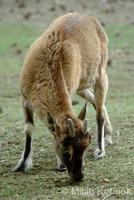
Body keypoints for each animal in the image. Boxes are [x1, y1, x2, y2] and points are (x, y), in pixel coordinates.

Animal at [13, 12, 112, 181]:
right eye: (65, 145)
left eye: (85, 146)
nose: (79, 175)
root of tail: (92, 19)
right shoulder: (24, 99)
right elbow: (29, 128)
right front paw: (22, 164)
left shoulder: (68, 90)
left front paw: (59, 165)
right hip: (82, 86)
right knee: (93, 100)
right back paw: (109, 135)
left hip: (100, 73)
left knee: (99, 112)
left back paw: (100, 150)